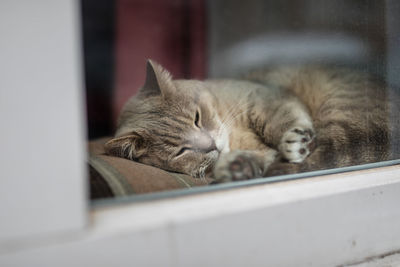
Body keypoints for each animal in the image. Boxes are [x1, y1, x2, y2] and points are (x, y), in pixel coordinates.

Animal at [104, 59, 396, 183]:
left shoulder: (267, 96)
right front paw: (235, 167)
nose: (212, 145)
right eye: (181, 151)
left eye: (197, 117)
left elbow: (279, 119)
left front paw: (292, 139)